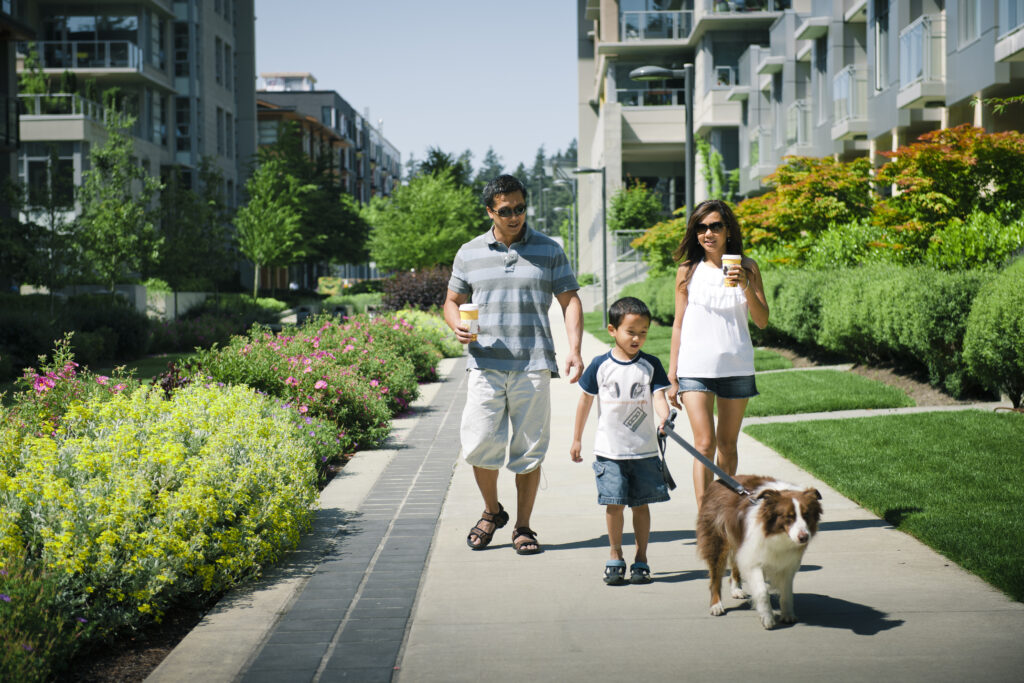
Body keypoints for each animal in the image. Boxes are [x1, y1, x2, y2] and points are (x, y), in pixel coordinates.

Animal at [696, 475, 823, 630]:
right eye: (789, 516)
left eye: (806, 515)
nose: (804, 537)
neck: (777, 534)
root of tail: (718, 481)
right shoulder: (754, 558)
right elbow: (762, 591)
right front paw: (767, 618)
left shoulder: (787, 563)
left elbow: (787, 592)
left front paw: (788, 615)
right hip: (717, 539)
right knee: (715, 576)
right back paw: (716, 605)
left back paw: (736, 589)